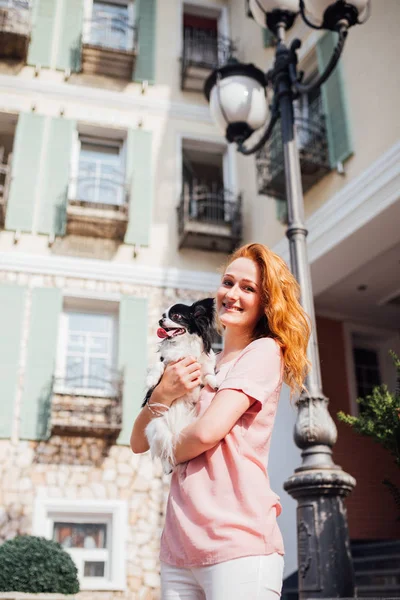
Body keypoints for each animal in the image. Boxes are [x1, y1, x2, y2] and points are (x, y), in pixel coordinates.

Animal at [142, 298, 217, 476]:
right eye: (163, 315)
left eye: (176, 316)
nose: (160, 321)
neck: (184, 345)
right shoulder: (167, 362)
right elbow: (158, 365)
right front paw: (151, 379)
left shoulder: (201, 368)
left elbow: (208, 372)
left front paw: (215, 382)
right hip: (156, 426)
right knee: (164, 448)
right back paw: (167, 467)